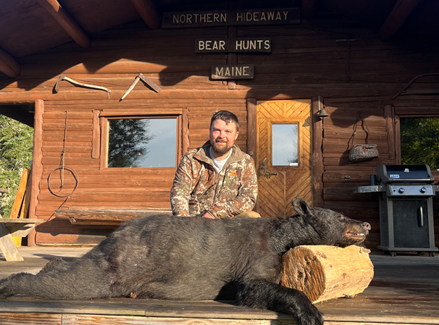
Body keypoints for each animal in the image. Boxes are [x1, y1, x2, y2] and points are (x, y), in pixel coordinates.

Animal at [0, 197, 372, 324]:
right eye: (341, 217)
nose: (366, 224)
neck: (285, 237)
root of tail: (118, 231)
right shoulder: (258, 255)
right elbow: (252, 287)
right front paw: (310, 312)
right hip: (123, 264)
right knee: (79, 282)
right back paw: (9, 283)